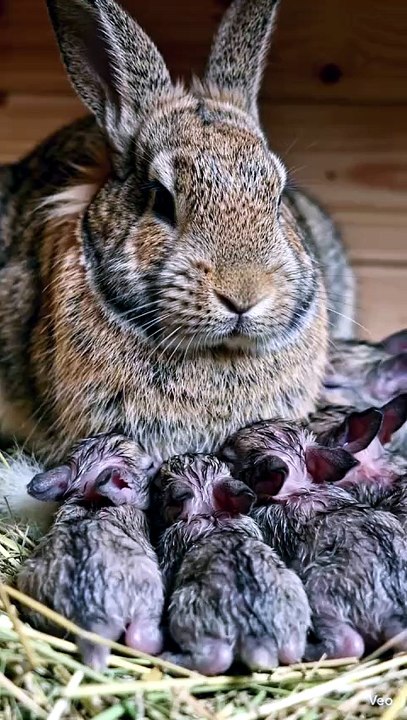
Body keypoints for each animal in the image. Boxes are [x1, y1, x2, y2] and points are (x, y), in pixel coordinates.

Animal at [17, 433, 164, 671]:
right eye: (149, 465)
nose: (161, 461)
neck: (92, 499)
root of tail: (91, 624)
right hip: (148, 597)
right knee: (140, 639)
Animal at [153, 454, 311, 675]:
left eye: (158, 486)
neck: (211, 516)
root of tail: (257, 637)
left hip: (188, 609)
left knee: (216, 657)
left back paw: (168, 659)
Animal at [221, 419, 407, 659]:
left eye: (229, 458)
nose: (220, 448)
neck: (301, 489)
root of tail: (393, 608)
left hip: (322, 595)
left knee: (349, 644)